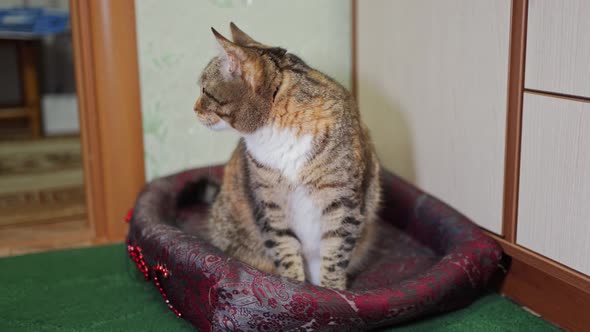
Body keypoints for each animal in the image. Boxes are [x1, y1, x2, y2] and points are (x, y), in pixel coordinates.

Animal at [192, 22, 382, 290]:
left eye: (204, 90)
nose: (194, 109)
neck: (278, 125)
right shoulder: (270, 203)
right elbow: (285, 249)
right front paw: (295, 287)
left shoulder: (342, 202)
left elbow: (334, 255)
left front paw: (330, 291)